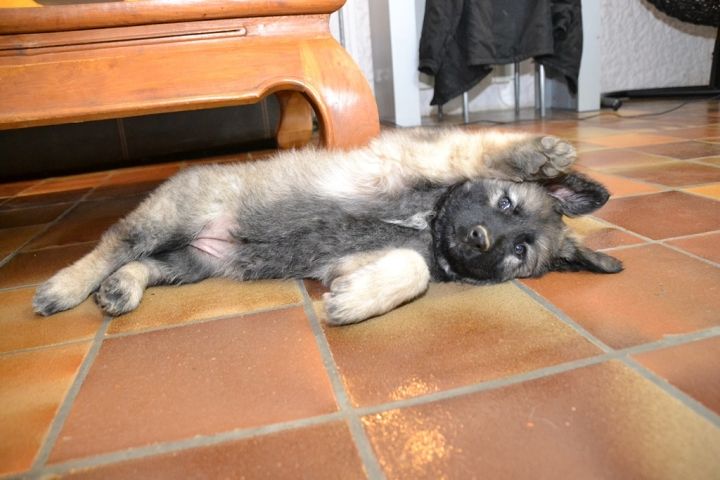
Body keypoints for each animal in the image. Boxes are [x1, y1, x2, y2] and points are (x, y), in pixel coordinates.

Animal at [33, 128, 622, 325]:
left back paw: (121, 289)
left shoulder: (353, 257)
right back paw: (64, 287)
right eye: (504, 202)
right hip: (170, 218)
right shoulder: (419, 157)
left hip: (194, 262)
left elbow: (411, 269)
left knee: (142, 264)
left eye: (520, 251)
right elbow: (477, 150)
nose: (480, 240)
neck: (427, 220)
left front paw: (358, 298)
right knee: (114, 244)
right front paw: (535, 153)